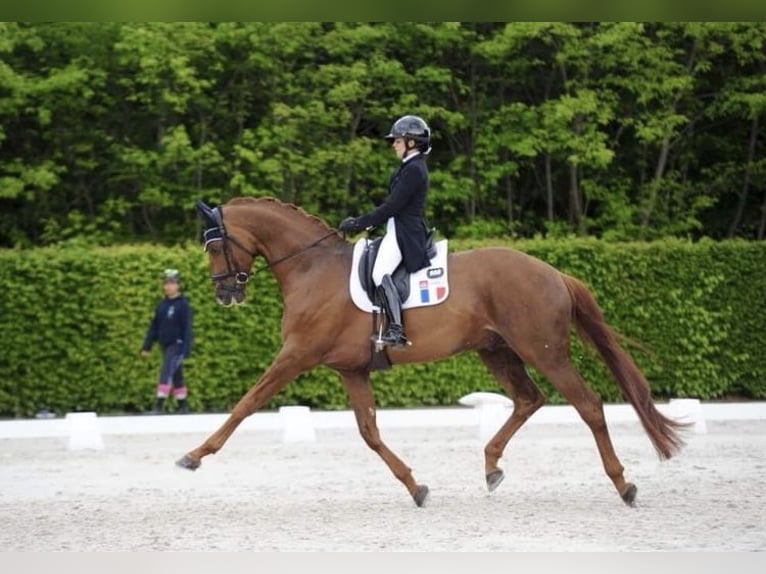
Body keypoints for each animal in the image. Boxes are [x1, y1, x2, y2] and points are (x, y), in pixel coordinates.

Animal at [177, 197, 688, 508]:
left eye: (215, 245)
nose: (224, 293)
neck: (310, 267)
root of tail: (553, 272)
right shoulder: (351, 370)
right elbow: (369, 432)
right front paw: (416, 487)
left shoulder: (296, 355)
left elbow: (246, 404)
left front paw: (195, 454)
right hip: (497, 351)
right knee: (529, 399)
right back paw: (491, 466)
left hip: (544, 351)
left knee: (588, 405)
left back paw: (623, 484)